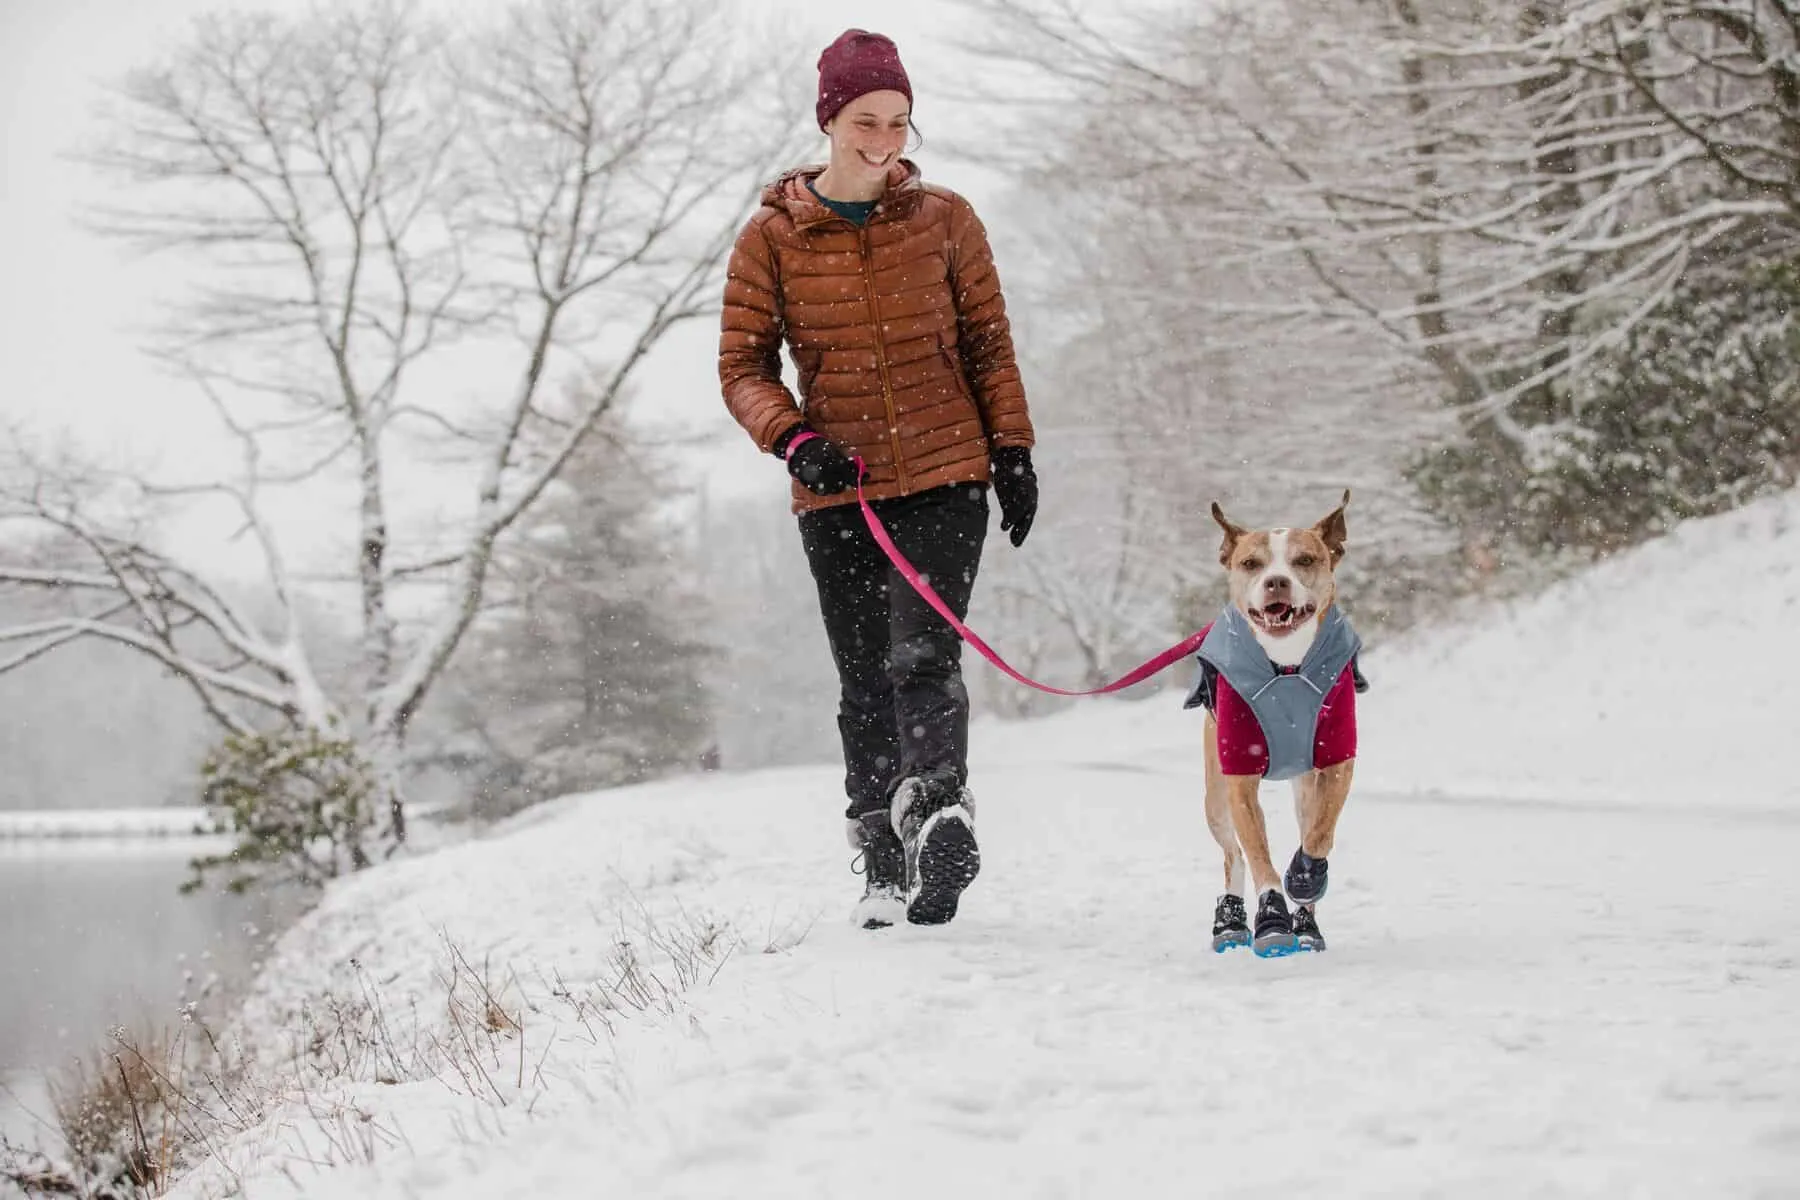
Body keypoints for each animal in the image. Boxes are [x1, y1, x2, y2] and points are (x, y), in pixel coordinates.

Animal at [1188, 489, 1368, 957]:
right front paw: (1271, 921)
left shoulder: (1337, 759)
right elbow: (1257, 856)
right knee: (1233, 855)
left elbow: (1319, 836)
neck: (1286, 665)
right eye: (1251, 563)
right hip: (1215, 798)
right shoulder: (1239, 771)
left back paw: (1307, 926)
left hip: (1304, 785)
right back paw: (1230, 923)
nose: (1276, 582)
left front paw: (1305, 880)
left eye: (1304, 559)